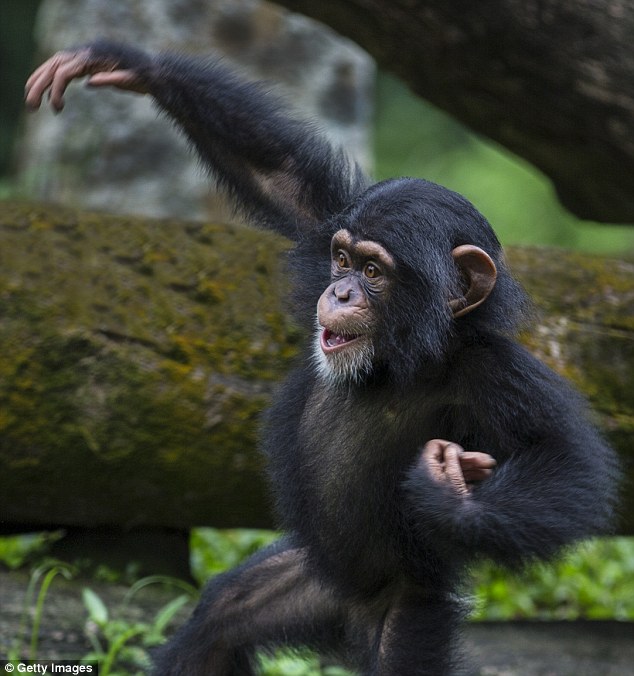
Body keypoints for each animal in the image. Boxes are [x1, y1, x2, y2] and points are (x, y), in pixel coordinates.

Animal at [25, 43, 616, 676]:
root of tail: (350, 614)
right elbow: (285, 181)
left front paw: (452, 500)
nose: (340, 292)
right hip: (307, 578)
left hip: (406, 609)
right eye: (342, 258)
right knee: (222, 617)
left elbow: (564, 461)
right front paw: (127, 63)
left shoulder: (497, 373)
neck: (403, 356)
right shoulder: (326, 219)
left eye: (375, 271)